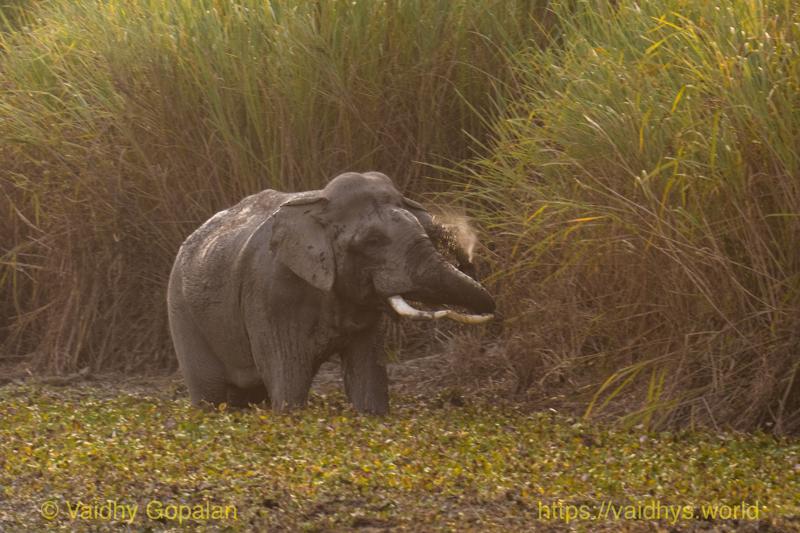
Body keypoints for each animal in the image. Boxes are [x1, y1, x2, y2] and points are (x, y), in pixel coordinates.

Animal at [167, 171, 495, 414]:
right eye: (372, 242)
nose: (468, 257)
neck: (318, 206)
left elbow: (367, 376)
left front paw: (371, 416)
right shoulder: (270, 293)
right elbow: (289, 378)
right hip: (181, 311)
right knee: (210, 395)